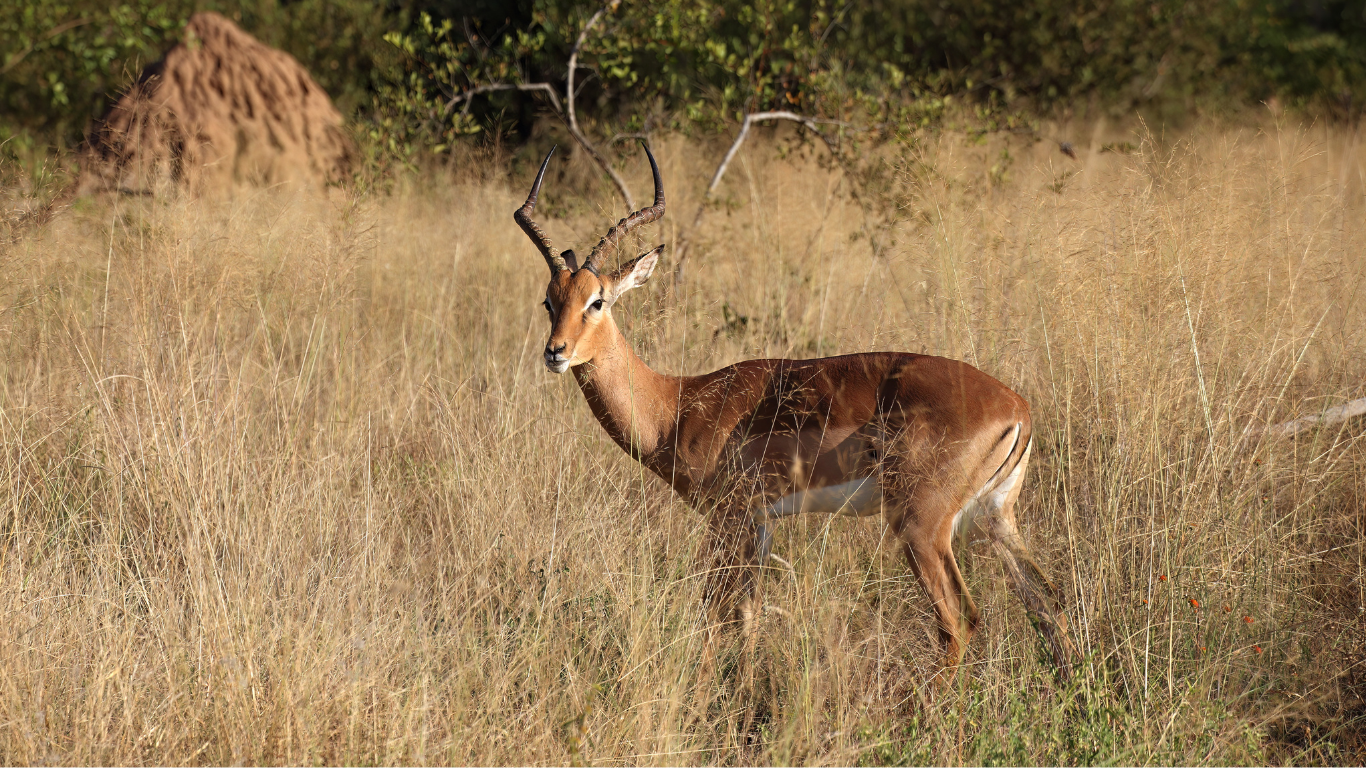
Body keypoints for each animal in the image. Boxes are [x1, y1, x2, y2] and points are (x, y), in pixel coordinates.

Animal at [516, 143, 1076, 677]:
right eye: (549, 300)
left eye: (598, 300)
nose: (555, 352)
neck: (676, 406)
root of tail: (1017, 408)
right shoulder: (761, 522)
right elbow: (748, 616)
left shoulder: (729, 518)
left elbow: (715, 613)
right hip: (995, 518)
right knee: (1048, 602)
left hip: (922, 526)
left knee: (959, 619)